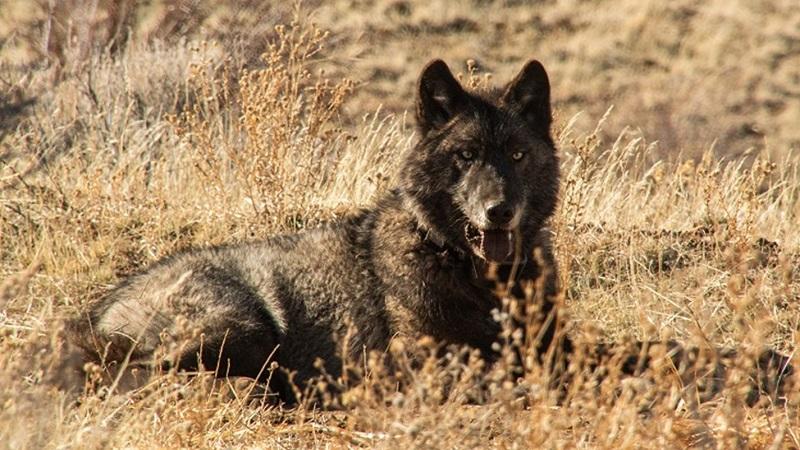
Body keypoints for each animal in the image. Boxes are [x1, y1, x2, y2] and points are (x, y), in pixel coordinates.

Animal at [76, 59, 791, 405]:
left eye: (517, 156)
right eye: (466, 156)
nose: (500, 211)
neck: (481, 280)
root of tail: (98, 311)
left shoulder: (554, 340)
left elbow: (650, 349)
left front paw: (761, 364)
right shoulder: (423, 360)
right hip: (239, 321)